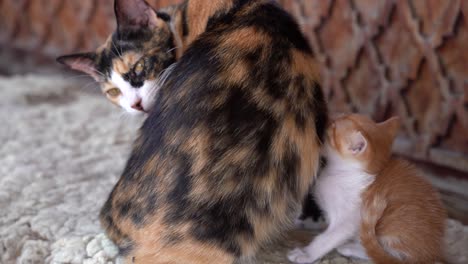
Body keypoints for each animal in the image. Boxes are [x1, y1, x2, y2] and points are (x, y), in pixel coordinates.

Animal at [288, 114, 446, 264]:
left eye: (332, 128)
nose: (324, 120)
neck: (339, 173)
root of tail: (431, 255)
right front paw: (303, 223)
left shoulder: (349, 220)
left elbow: (327, 238)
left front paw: (306, 254)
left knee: (382, 254)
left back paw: (350, 248)